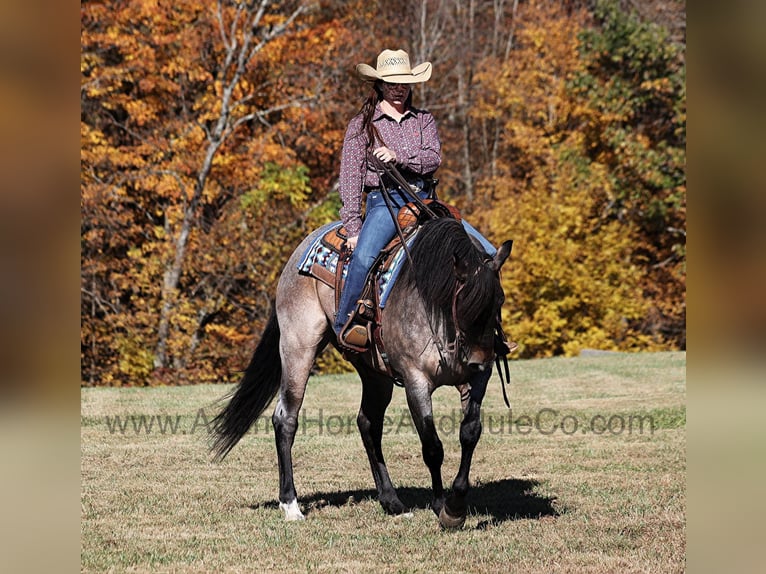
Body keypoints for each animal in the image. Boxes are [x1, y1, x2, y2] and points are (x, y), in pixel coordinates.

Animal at [211, 216, 512, 528]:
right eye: (464, 301)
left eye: (499, 301)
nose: (479, 361)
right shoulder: (416, 381)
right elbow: (432, 446)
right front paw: (443, 507)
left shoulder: (477, 380)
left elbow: (469, 433)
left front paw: (456, 504)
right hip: (298, 348)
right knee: (285, 419)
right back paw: (291, 505)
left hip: (375, 373)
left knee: (368, 423)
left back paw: (392, 502)